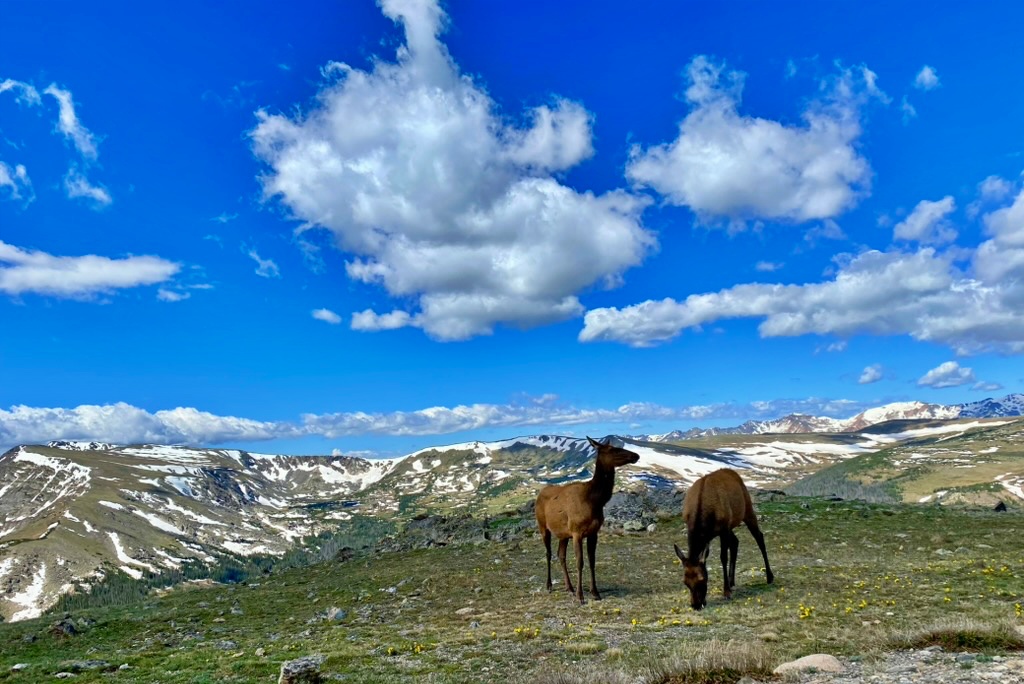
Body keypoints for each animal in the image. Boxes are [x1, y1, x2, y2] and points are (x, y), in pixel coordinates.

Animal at [535, 436, 640, 604]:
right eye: (613, 449)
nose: (636, 455)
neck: (595, 501)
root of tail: (539, 494)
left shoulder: (593, 532)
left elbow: (592, 561)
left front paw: (595, 592)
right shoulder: (577, 532)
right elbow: (580, 562)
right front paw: (581, 596)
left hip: (564, 533)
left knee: (561, 555)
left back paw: (569, 587)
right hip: (543, 526)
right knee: (548, 553)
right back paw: (549, 585)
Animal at [672, 468, 774, 610]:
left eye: (702, 579)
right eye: (685, 582)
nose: (696, 605)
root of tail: (732, 472)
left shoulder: (723, 528)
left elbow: (723, 557)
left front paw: (726, 592)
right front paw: (728, 587)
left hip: (747, 509)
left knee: (759, 537)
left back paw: (769, 577)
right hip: (731, 524)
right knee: (736, 542)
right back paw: (732, 581)